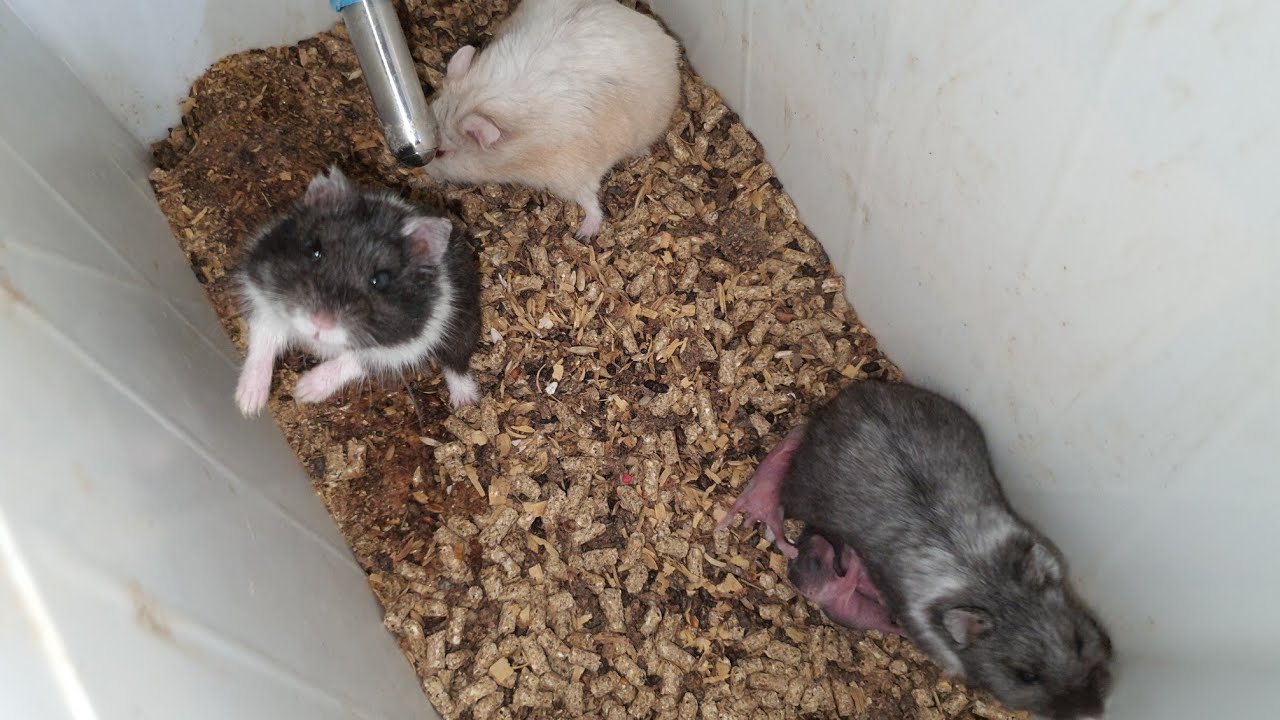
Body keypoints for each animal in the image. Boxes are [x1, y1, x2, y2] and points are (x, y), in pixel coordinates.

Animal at [233, 166, 482, 416]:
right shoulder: (263, 298)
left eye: (380, 280)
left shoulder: (398, 349)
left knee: (456, 363)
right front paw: (247, 405)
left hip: (463, 325)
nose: (319, 323)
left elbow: (351, 359)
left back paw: (467, 402)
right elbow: (264, 343)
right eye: (314, 251)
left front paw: (303, 391)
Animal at [426, 0, 680, 238]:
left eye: (441, 153)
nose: (422, 171)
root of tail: (668, 42)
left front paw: (584, 234)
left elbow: (590, 202)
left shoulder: (572, 174)